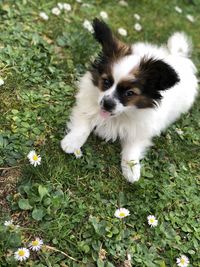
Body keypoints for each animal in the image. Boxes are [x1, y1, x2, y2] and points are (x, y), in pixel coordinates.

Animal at [60, 17, 197, 183]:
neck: (118, 116)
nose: (107, 104)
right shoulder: (87, 106)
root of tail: (177, 56)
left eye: (129, 93)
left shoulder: (141, 130)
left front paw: (132, 169)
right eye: (106, 82)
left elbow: (132, 148)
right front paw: (72, 142)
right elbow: (83, 126)